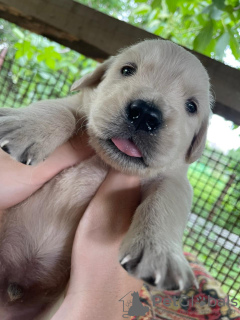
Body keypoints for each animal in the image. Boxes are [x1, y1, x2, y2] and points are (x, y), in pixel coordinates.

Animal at [0, 39, 211, 318]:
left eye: (191, 106)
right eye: (127, 70)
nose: (146, 113)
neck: (106, 162)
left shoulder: (175, 180)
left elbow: (165, 203)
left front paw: (160, 252)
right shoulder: (78, 105)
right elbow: (62, 110)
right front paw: (25, 125)